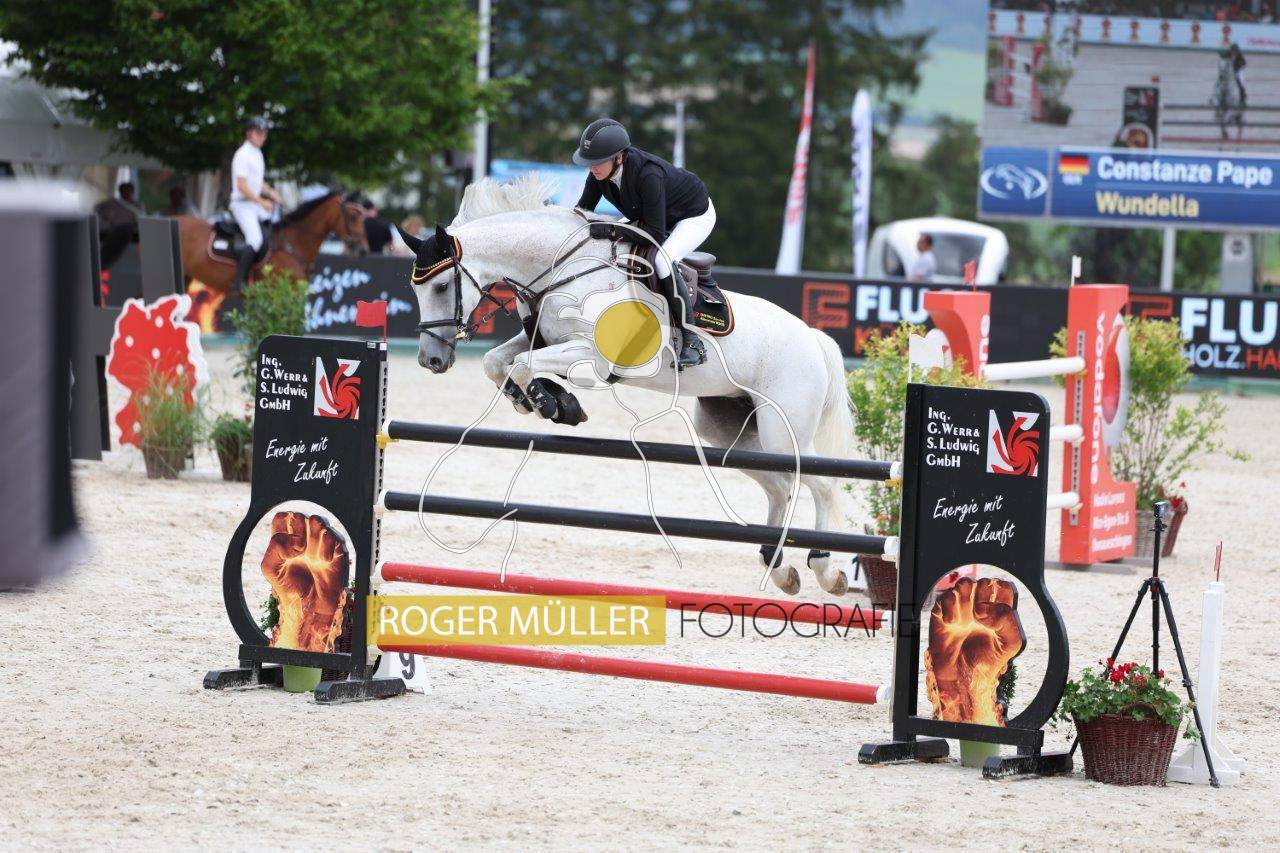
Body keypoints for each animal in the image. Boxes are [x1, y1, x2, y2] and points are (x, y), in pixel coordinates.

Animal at [397, 178, 857, 597]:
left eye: (441, 286)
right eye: (415, 288)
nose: (431, 360)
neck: (563, 270)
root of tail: (812, 337)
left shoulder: (592, 361)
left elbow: (526, 366)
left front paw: (553, 403)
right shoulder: (543, 340)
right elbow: (498, 362)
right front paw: (540, 400)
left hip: (783, 430)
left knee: (821, 483)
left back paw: (826, 571)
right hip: (730, 432)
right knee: (780, 486)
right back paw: (781, 569)